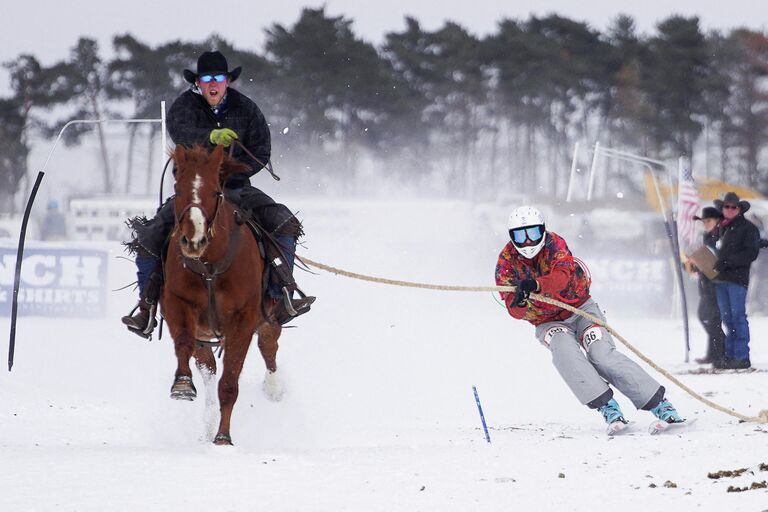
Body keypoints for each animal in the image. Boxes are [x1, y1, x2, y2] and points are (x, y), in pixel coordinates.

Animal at [164, 143, 284, 444]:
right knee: (207, 368)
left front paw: (223, 438)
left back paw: (274, 388)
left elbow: (229, 383)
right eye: (178, 188)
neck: (210, 266)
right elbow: (183, 343)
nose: (193, 240)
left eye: (214, 191)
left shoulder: (243, 319)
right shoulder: (177, 304)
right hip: (206, 334)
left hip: (270, 315)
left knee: (269, 346)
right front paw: (182, 385)